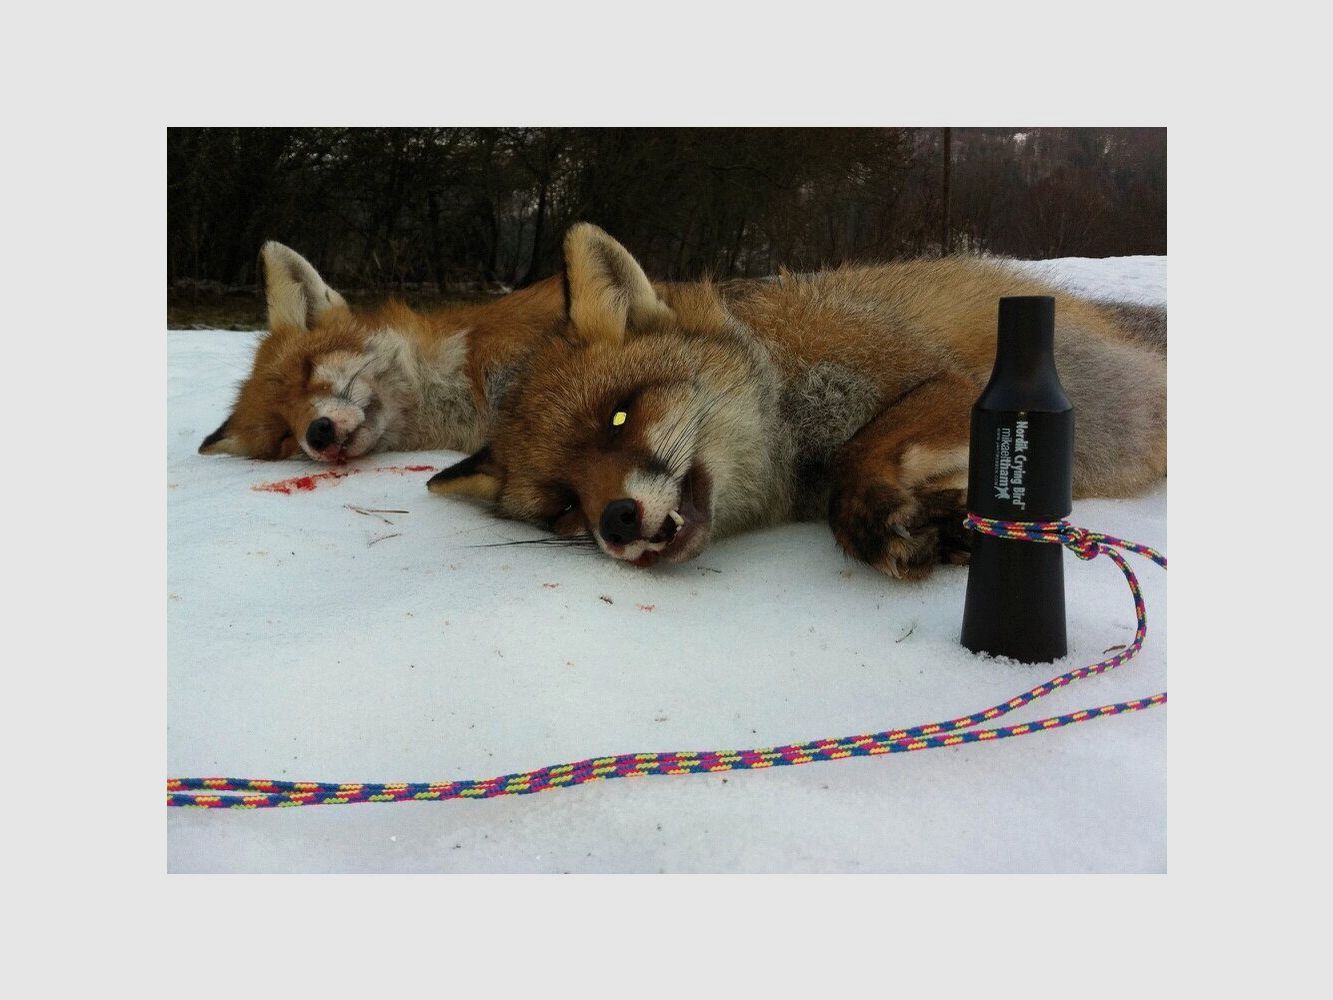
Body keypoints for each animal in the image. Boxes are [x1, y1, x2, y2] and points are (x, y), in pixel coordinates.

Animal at [427, 223, 1166, 580]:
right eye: (562, 508)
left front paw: (871, 518)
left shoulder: (956, 381)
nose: (615, 522)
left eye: (619, 415)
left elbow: (860, 452)